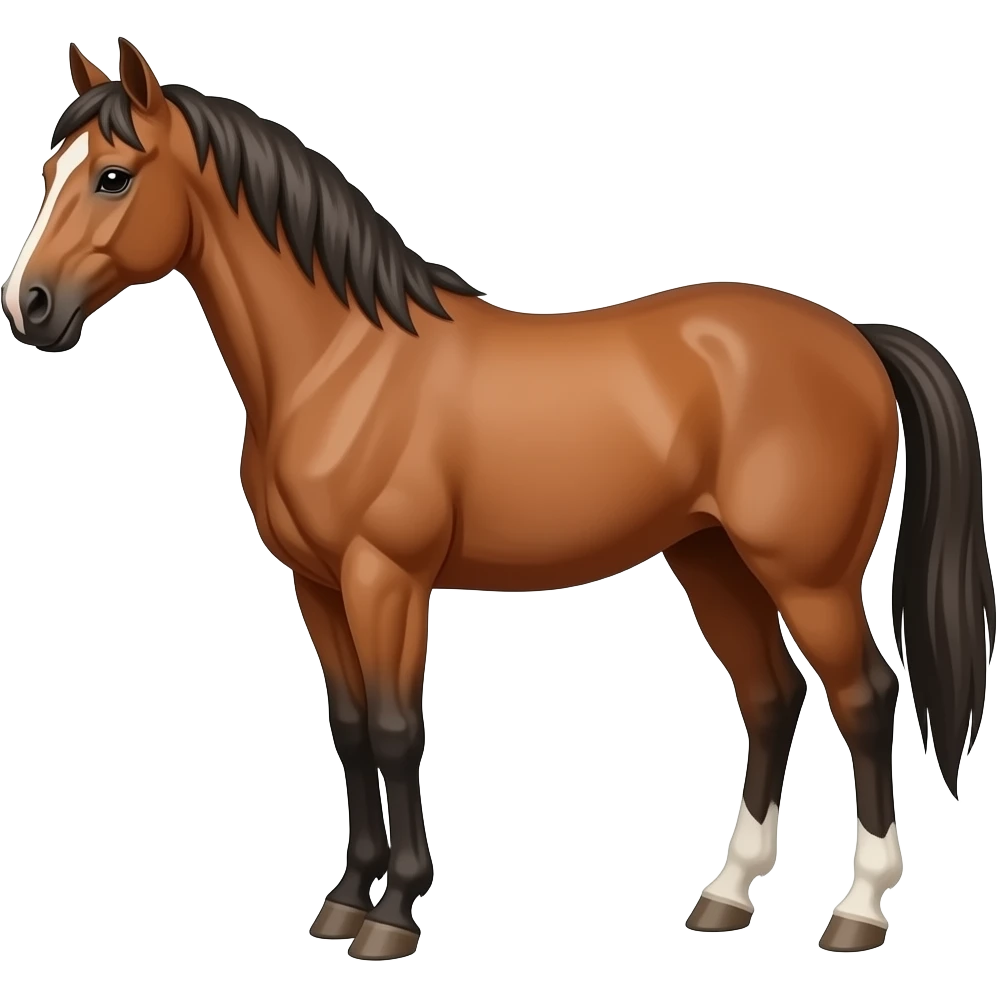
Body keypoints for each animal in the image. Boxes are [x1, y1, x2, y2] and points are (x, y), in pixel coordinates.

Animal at [2, 37, 993, 960]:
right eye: (50, 172)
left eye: (113, 176)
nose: (30, 307)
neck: (340, 364)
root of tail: (855, 338)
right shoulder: (316, 585)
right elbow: (349, 729)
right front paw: (345, 898)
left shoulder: (386, 579)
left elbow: (396, 729)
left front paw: (393, 914)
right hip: (709, 557)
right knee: (769, 694)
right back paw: (724, 893)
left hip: (807, 575)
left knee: (862, 695)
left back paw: (858, 909)